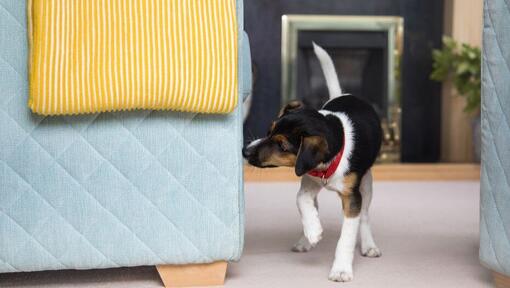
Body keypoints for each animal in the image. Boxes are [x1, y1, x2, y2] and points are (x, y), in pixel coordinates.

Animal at [243, 42, 382, 282]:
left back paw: (368, 245)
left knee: (364, 216)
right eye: (269, 131)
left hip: (366, 183)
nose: (245, 151)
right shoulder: (308, 180)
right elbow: (302, 201)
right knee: (313, 206)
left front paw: (341, 269)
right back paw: (305, 239)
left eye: (281, 146)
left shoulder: (351, 197)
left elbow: (347, 236)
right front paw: (313, 230)